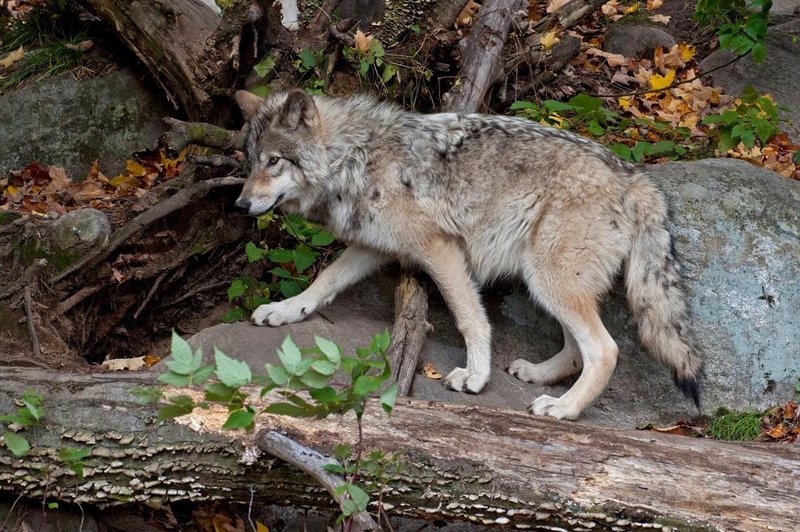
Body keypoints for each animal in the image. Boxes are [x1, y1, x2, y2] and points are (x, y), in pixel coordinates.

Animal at [231, 88, 700, 420]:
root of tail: (633, 175)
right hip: (546, 282)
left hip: (549, 280)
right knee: (574, 349)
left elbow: (469, 319)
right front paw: (285, 310)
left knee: (605, 350)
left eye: (275, 161)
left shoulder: (440, 250)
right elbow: (323, 281)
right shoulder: (373, 247)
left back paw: (563, 408)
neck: (355, 158)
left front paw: (475, 377)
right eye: (251, 160)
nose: (239, 205)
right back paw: (538, 376)